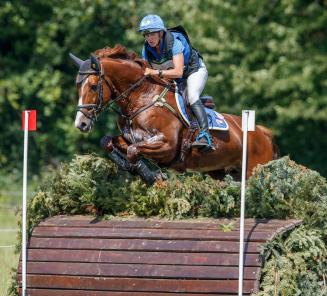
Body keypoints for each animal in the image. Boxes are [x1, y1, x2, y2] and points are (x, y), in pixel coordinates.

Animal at [70, 44, 280, 184]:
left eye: (93, 86)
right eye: (78, 86)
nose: (81, 124)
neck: (142, 97)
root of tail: (263, 133)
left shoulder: (167, 146)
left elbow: (133, 152)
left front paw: (151, 175)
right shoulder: (131, 138)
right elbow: (108, 142)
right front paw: (139, 171)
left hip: (254, 170)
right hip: (224, 171)